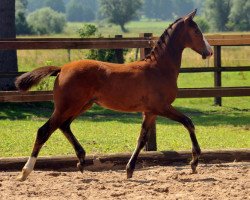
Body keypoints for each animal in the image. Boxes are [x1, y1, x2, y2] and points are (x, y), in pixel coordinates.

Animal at [14, 9, 213, 181]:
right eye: (196, 31)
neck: (159, 69)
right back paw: (25, 171)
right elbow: (188, 122)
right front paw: (194, 162)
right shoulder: (162, 107)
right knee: (44, 130)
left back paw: (81, 160)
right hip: (67, 106)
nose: (209, 51)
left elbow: (142, 139)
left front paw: (129, 169)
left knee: (64, 126)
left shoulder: (150, 112)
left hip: (81, 105)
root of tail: (62, 68)